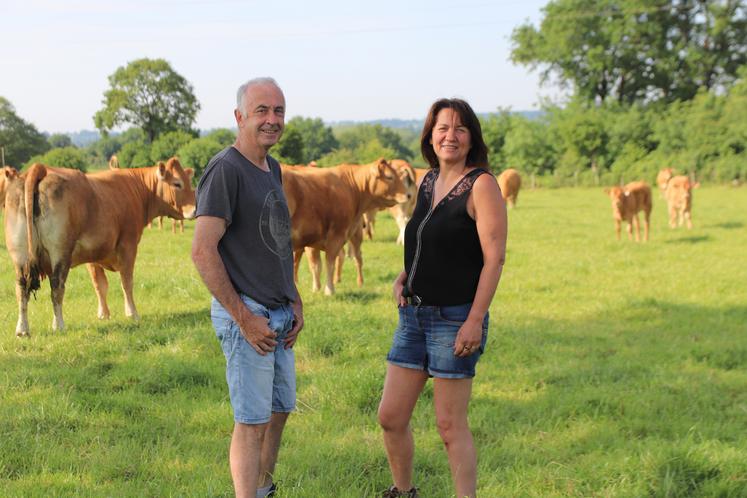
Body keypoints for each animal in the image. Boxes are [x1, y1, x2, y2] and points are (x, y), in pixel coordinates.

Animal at [4, 158, 196, 336]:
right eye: (177, 183)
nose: (194, 209)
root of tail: (41, 168)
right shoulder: (128, 246)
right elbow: (126, 282)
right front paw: (132, 313)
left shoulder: (92, 254)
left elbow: (100, 285)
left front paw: (103, 314)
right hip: (60, 252)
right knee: (57, 286)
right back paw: (59, 325)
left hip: (20, 255)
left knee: (21, 288)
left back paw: (22, 329)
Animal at [284, 158, 410, 294]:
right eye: (389, 176)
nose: (408, 195)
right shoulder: (336, 234)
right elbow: (328, 263)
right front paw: (328, 290)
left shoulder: (313, 240)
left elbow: (317, 265)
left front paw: (317, 289)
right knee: (355, 257)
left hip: (356, 235)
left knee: (357, 258)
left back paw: (359, 282)